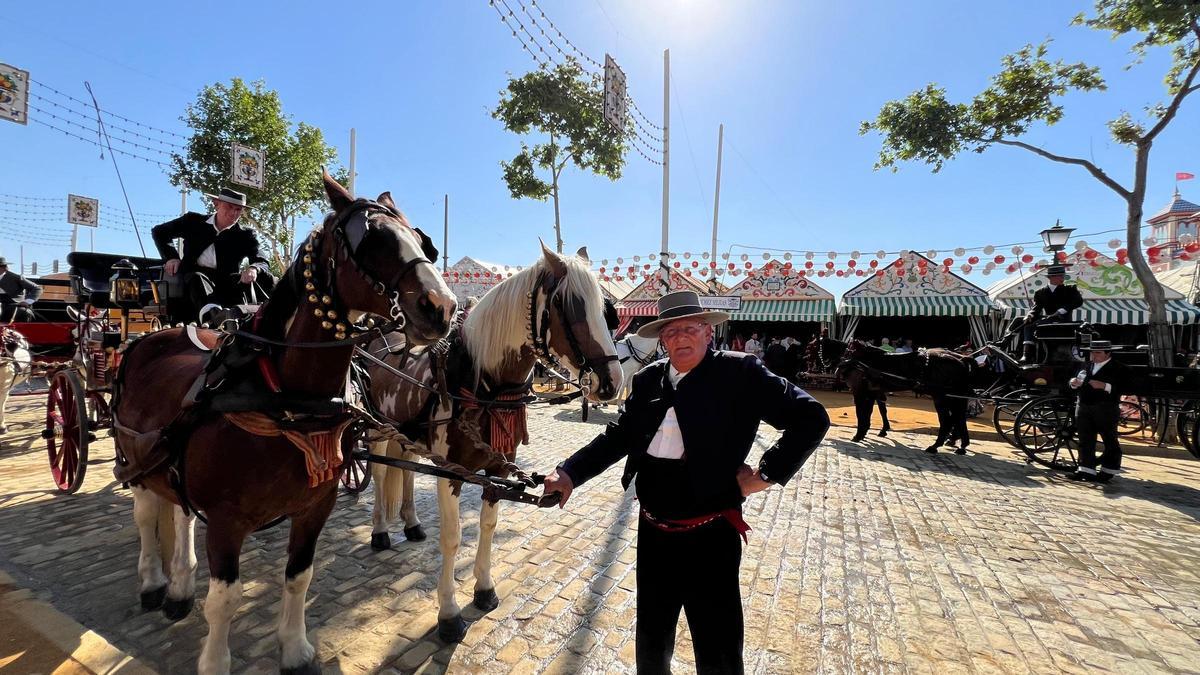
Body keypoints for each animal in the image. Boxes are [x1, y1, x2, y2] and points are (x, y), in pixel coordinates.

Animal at [111, 172, 453, 672]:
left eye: (422, 240)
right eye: (372, 239)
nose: (442, 307)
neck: (285, 398)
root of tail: (152, 336)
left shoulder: (314, 508)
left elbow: (298, 577)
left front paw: (294, 649)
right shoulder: (227, 521)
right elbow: (225, 601)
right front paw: (215, 661)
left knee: (179, 512)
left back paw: (179, 586)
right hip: (134, 458)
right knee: (143, 515)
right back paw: (155, 581)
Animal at [362, 242, 624, 638]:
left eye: (608, 312)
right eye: (569, 305)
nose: (612, 382)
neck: (481, 385)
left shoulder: (496, 469)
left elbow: (488, 525)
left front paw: (484, 589)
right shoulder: (451, 472)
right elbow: (453, 537)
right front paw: (449, 612)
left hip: (407, 436)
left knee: (406, 471)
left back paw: (412, 524)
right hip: (378, 429)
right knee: (379, 474)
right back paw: (380, 531)